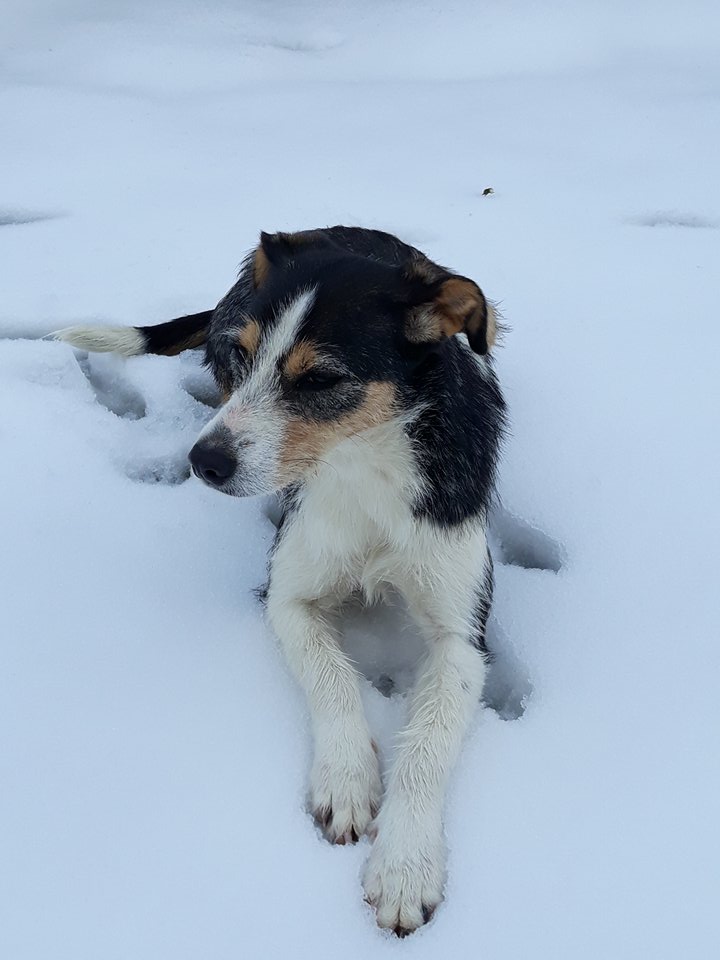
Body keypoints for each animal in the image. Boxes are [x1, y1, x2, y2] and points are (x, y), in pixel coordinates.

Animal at [54, 227, 506, 936]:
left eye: (320, 378)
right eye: (244, 356)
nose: (203, 462)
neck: (364, 464)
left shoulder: (462, 635)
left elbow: (430, 740)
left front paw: (406, 866)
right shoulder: (288, 593)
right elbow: (331, 675)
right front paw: (346, 781)